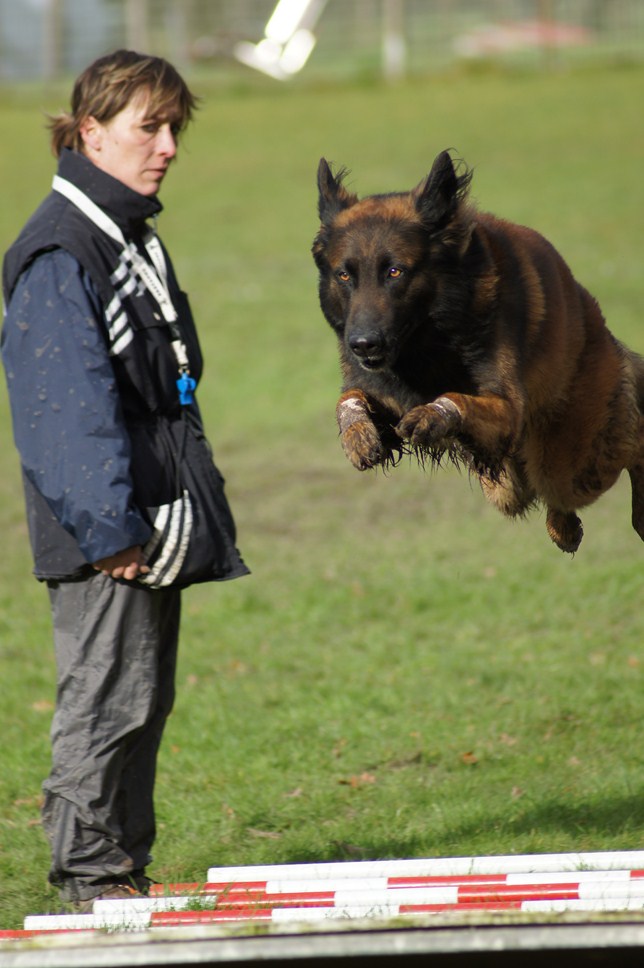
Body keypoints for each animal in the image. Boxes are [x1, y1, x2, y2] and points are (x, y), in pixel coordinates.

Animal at [312, 155, 644, 556]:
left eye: (395, 271)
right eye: (344, 275)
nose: (362, 344)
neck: (428, 343)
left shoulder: (508, 407)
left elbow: (456, 399)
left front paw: (432, 414)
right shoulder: (381, 390)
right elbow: (348, 397)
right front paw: (357, 434)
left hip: (571, 460)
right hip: (510, 483)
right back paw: (564, 528)